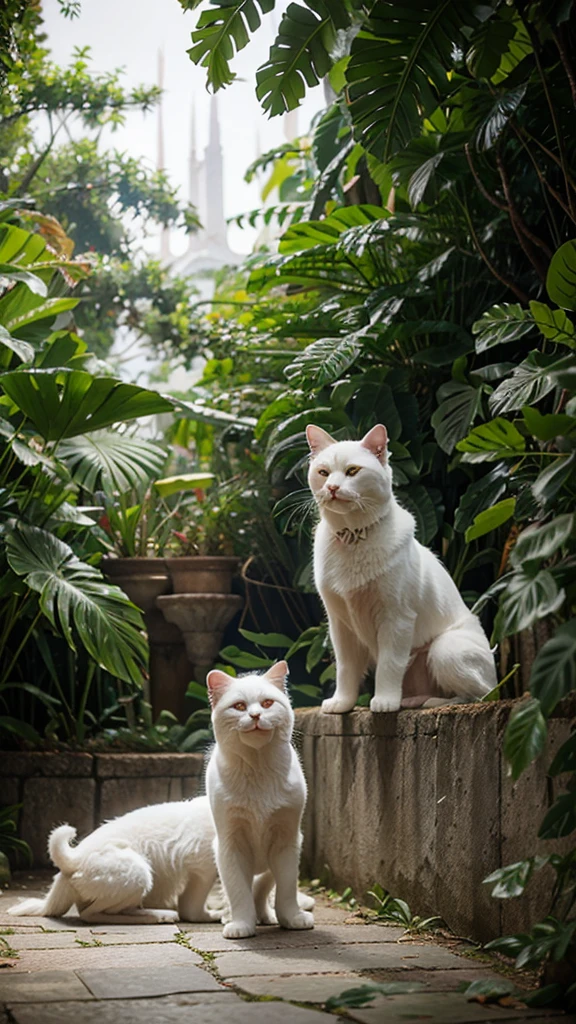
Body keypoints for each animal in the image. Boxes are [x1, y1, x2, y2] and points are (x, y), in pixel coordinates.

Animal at [206, 659, 313, 937]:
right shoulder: (230, 845)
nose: (255, 716)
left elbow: (286, 890)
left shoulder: (286, 841)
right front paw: (241, 925)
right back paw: (230, 917)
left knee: (263, 891)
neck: (257, 770)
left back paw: (267, 917)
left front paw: (292, 919)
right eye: (239, 707)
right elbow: (238, 892)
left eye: (267, 703)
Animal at [305, 421, 498, 712]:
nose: (332, 488)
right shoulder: (339, 624)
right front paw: (342, 703)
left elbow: (389, 664)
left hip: (445, 648)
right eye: (323, 472)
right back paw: (412, 700)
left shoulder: (396, 617)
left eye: (352, 471)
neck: (353, 537)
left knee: (483, 694)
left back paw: (433, 701)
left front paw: (384, 701)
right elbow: (346, 668)